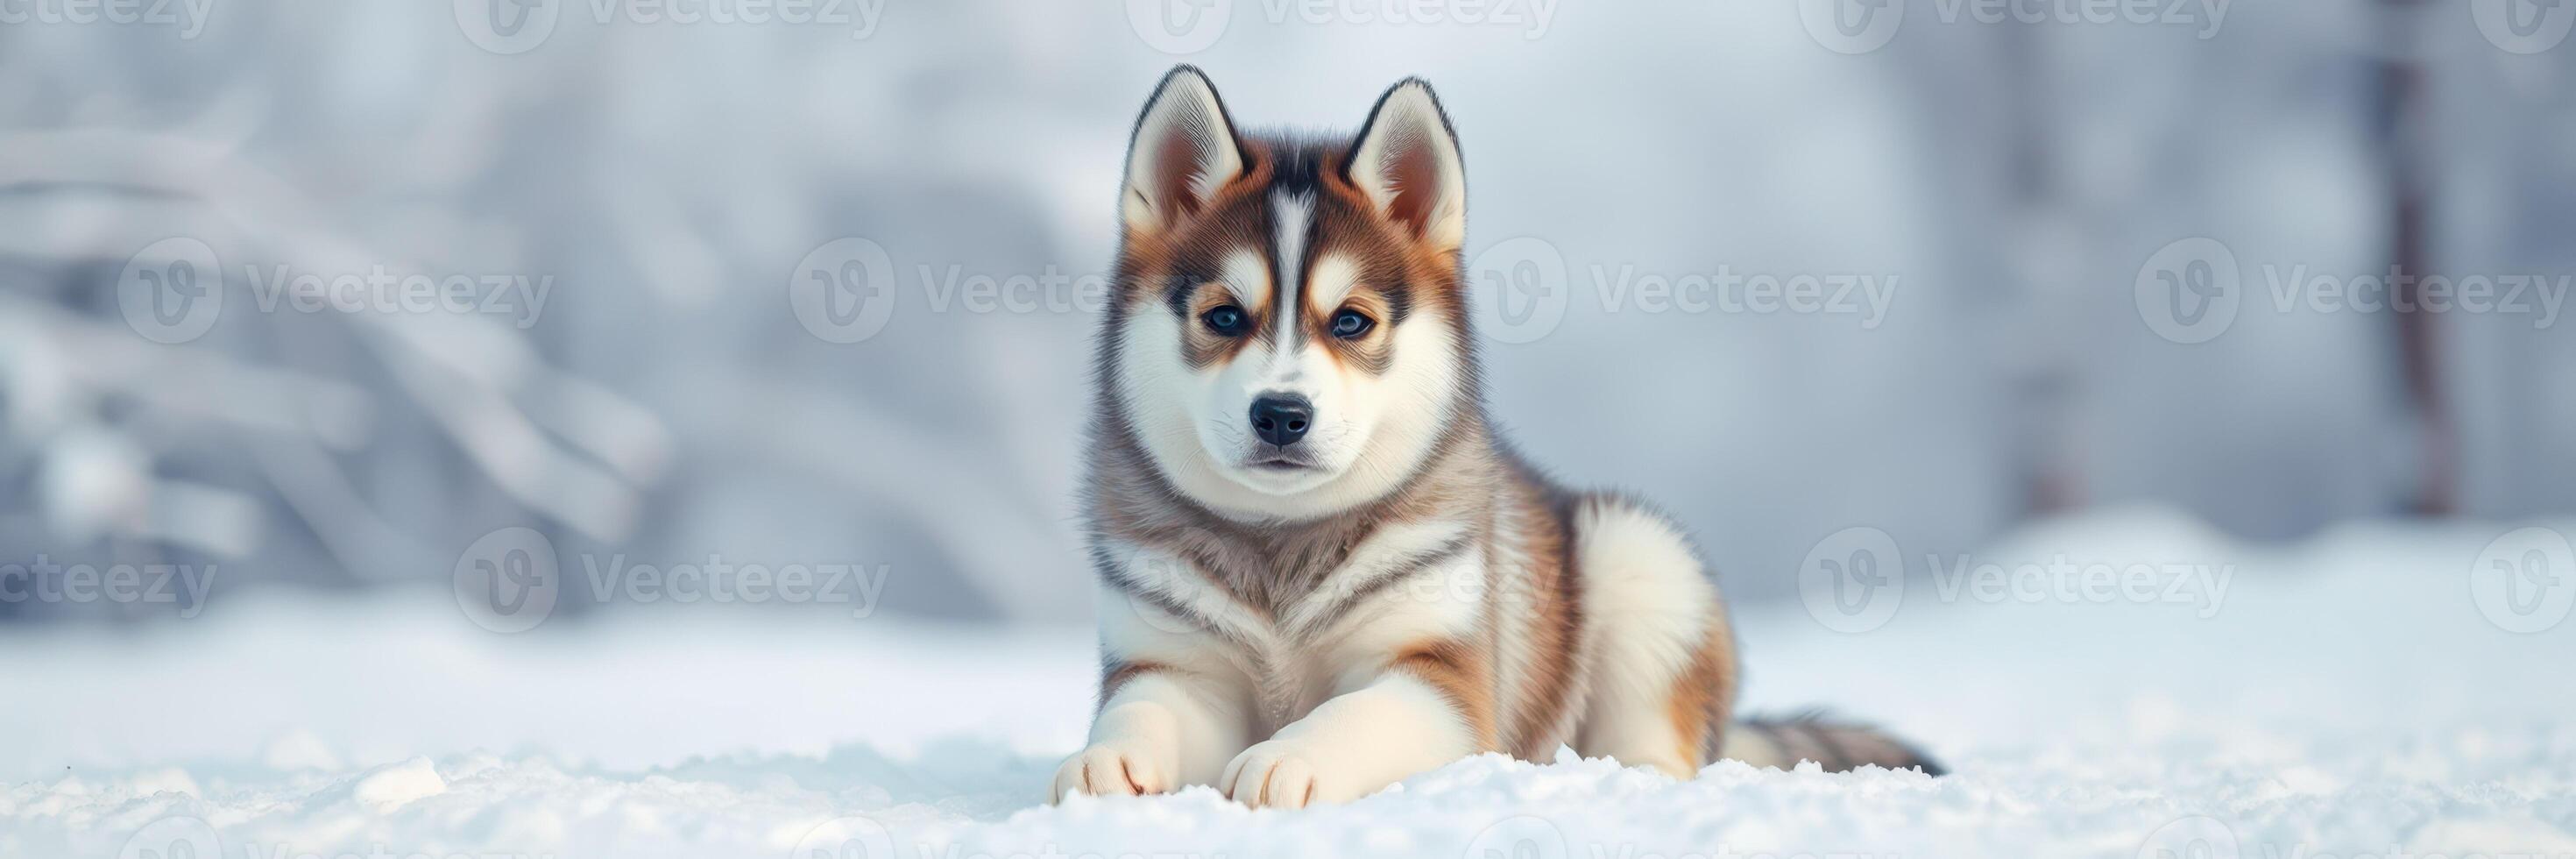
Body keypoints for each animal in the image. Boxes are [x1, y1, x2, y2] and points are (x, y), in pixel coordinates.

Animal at [1045, 65, 1936, 805]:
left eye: (1351, 321)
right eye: (1225, 316)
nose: (1282, 414)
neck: (1282, 550)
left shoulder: (1441, 674)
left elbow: (1353, 714)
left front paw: (1286, 756)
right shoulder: (1172, 663)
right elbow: (1143, 710)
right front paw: (1101, 759)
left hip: (1639, 561)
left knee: (1663, 737)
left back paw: (1625, 777)